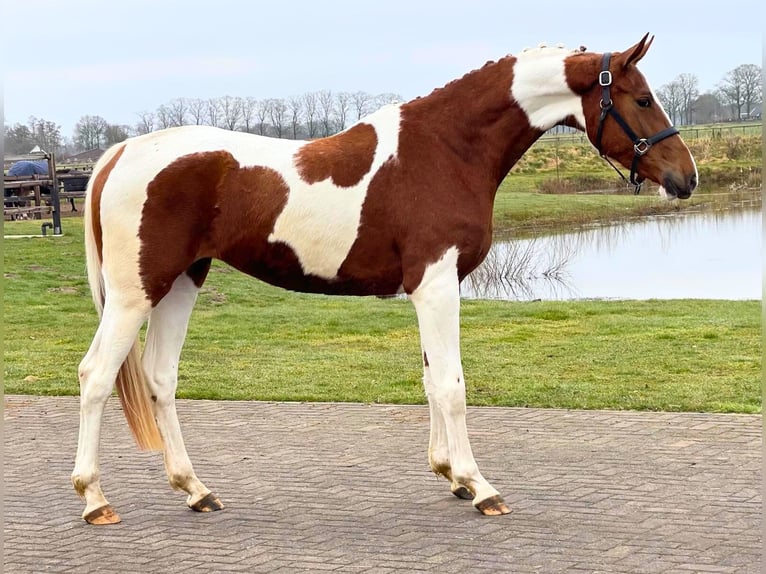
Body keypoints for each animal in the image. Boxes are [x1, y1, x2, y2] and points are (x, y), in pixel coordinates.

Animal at [73, 32, 704, 528]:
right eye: (642, 98)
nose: (687, 177)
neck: (446, 149)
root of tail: (122, 152)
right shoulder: (436, 283)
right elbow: (451, 384)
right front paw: (480, 487)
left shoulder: (433, 287)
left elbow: (430, 379)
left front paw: (450, 475)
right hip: (134, 294)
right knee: (96, 376)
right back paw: (95, 499)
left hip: (182, 283)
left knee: (160, 377)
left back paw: (196, 490)